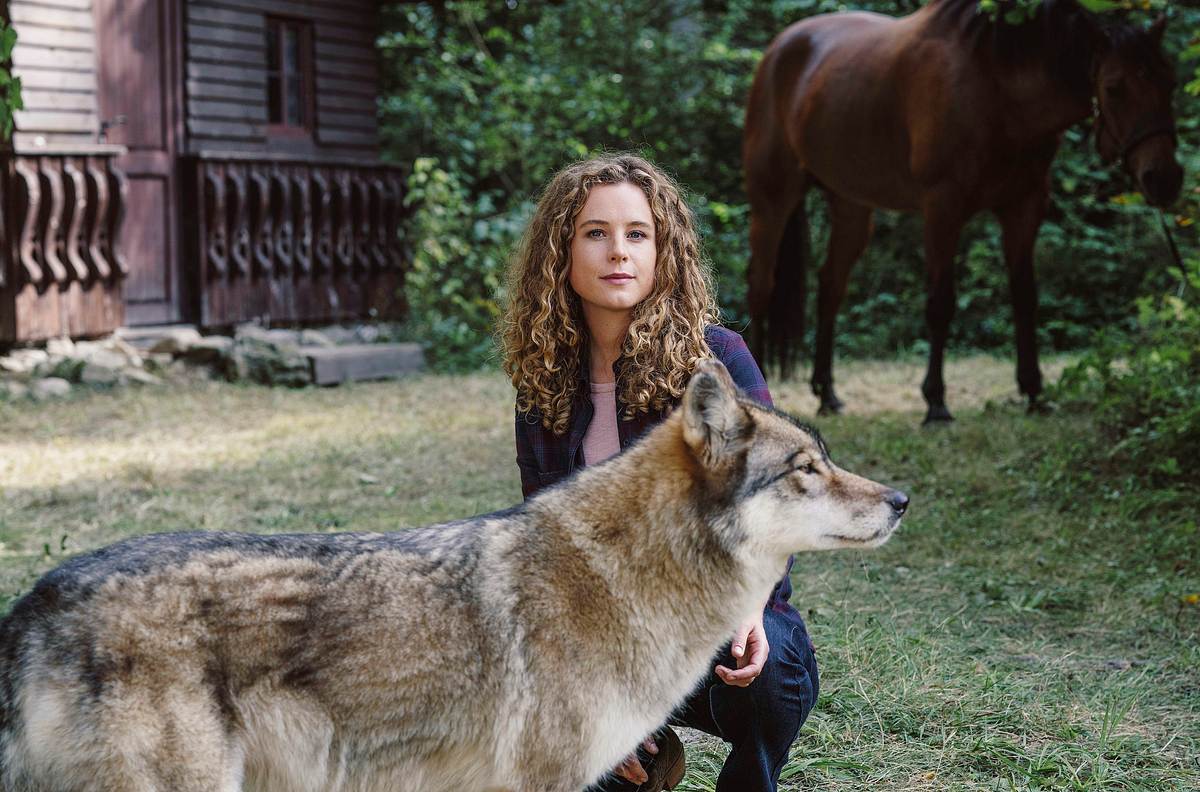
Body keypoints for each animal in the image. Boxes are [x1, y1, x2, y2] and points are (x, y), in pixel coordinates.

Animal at [744, 0, 1185, 420]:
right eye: (1114, 87)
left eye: (1170, 81)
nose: (1164, 179)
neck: (995, 86)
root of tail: (777, 50)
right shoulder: (943, 207)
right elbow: (941, 303)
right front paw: (936, 402)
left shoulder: (1025, 206)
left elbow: (1025, 296)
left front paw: (1034, 391)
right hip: (772, 198)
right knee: (761, 284)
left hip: (852, 207)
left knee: (830, 287)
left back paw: (828, 394)